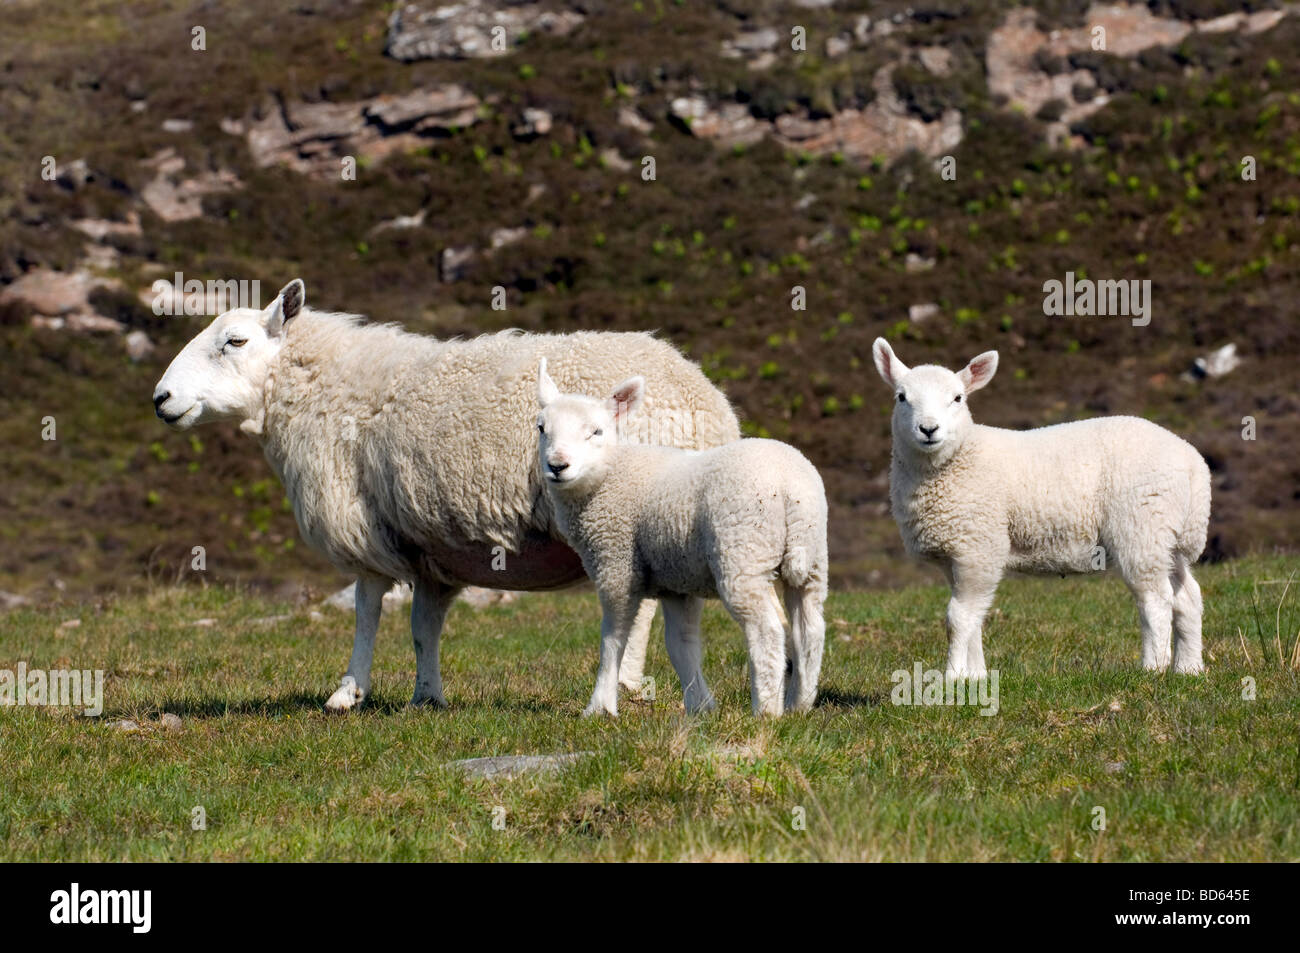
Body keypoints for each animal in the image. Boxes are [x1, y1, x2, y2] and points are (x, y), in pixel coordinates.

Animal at [149, 278, 743, 712]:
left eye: (235, 341)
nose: (161, 397)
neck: (325, 390)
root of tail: (708, 407)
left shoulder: (365, 527)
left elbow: (366, 611)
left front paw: (347, 691)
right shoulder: (433, 544)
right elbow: (423, 626)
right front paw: (426, 696)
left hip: (626, 508)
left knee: (638, 607)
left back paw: (626, 683)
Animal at [533, 361, 826, 717]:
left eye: (596, 432)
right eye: (542, 429)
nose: (557, 466)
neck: (611, 474)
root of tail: (789, 485)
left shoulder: (616, 564)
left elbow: (613, 638)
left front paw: (600, 706)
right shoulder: (677, 582)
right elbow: (681, 644)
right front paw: (700, 706)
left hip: (743, 553)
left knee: (766, 631)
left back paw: (766, 711)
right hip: (812, 556)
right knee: (810, 629)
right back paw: (800, 704)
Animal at [868, 338, 1211, 681]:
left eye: (957, 398)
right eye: (901, 397)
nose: (928, 429)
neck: (958, 460)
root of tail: (1193, 463)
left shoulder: (979, 548)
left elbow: (958, 618)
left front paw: (952, 677)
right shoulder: (955, 555)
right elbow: (973, 618)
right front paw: (976, 676)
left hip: (1142, 526)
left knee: (1156, 600)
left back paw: (1153, 668)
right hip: (1169, 535)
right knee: (1187, 597)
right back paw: (1189, 668)